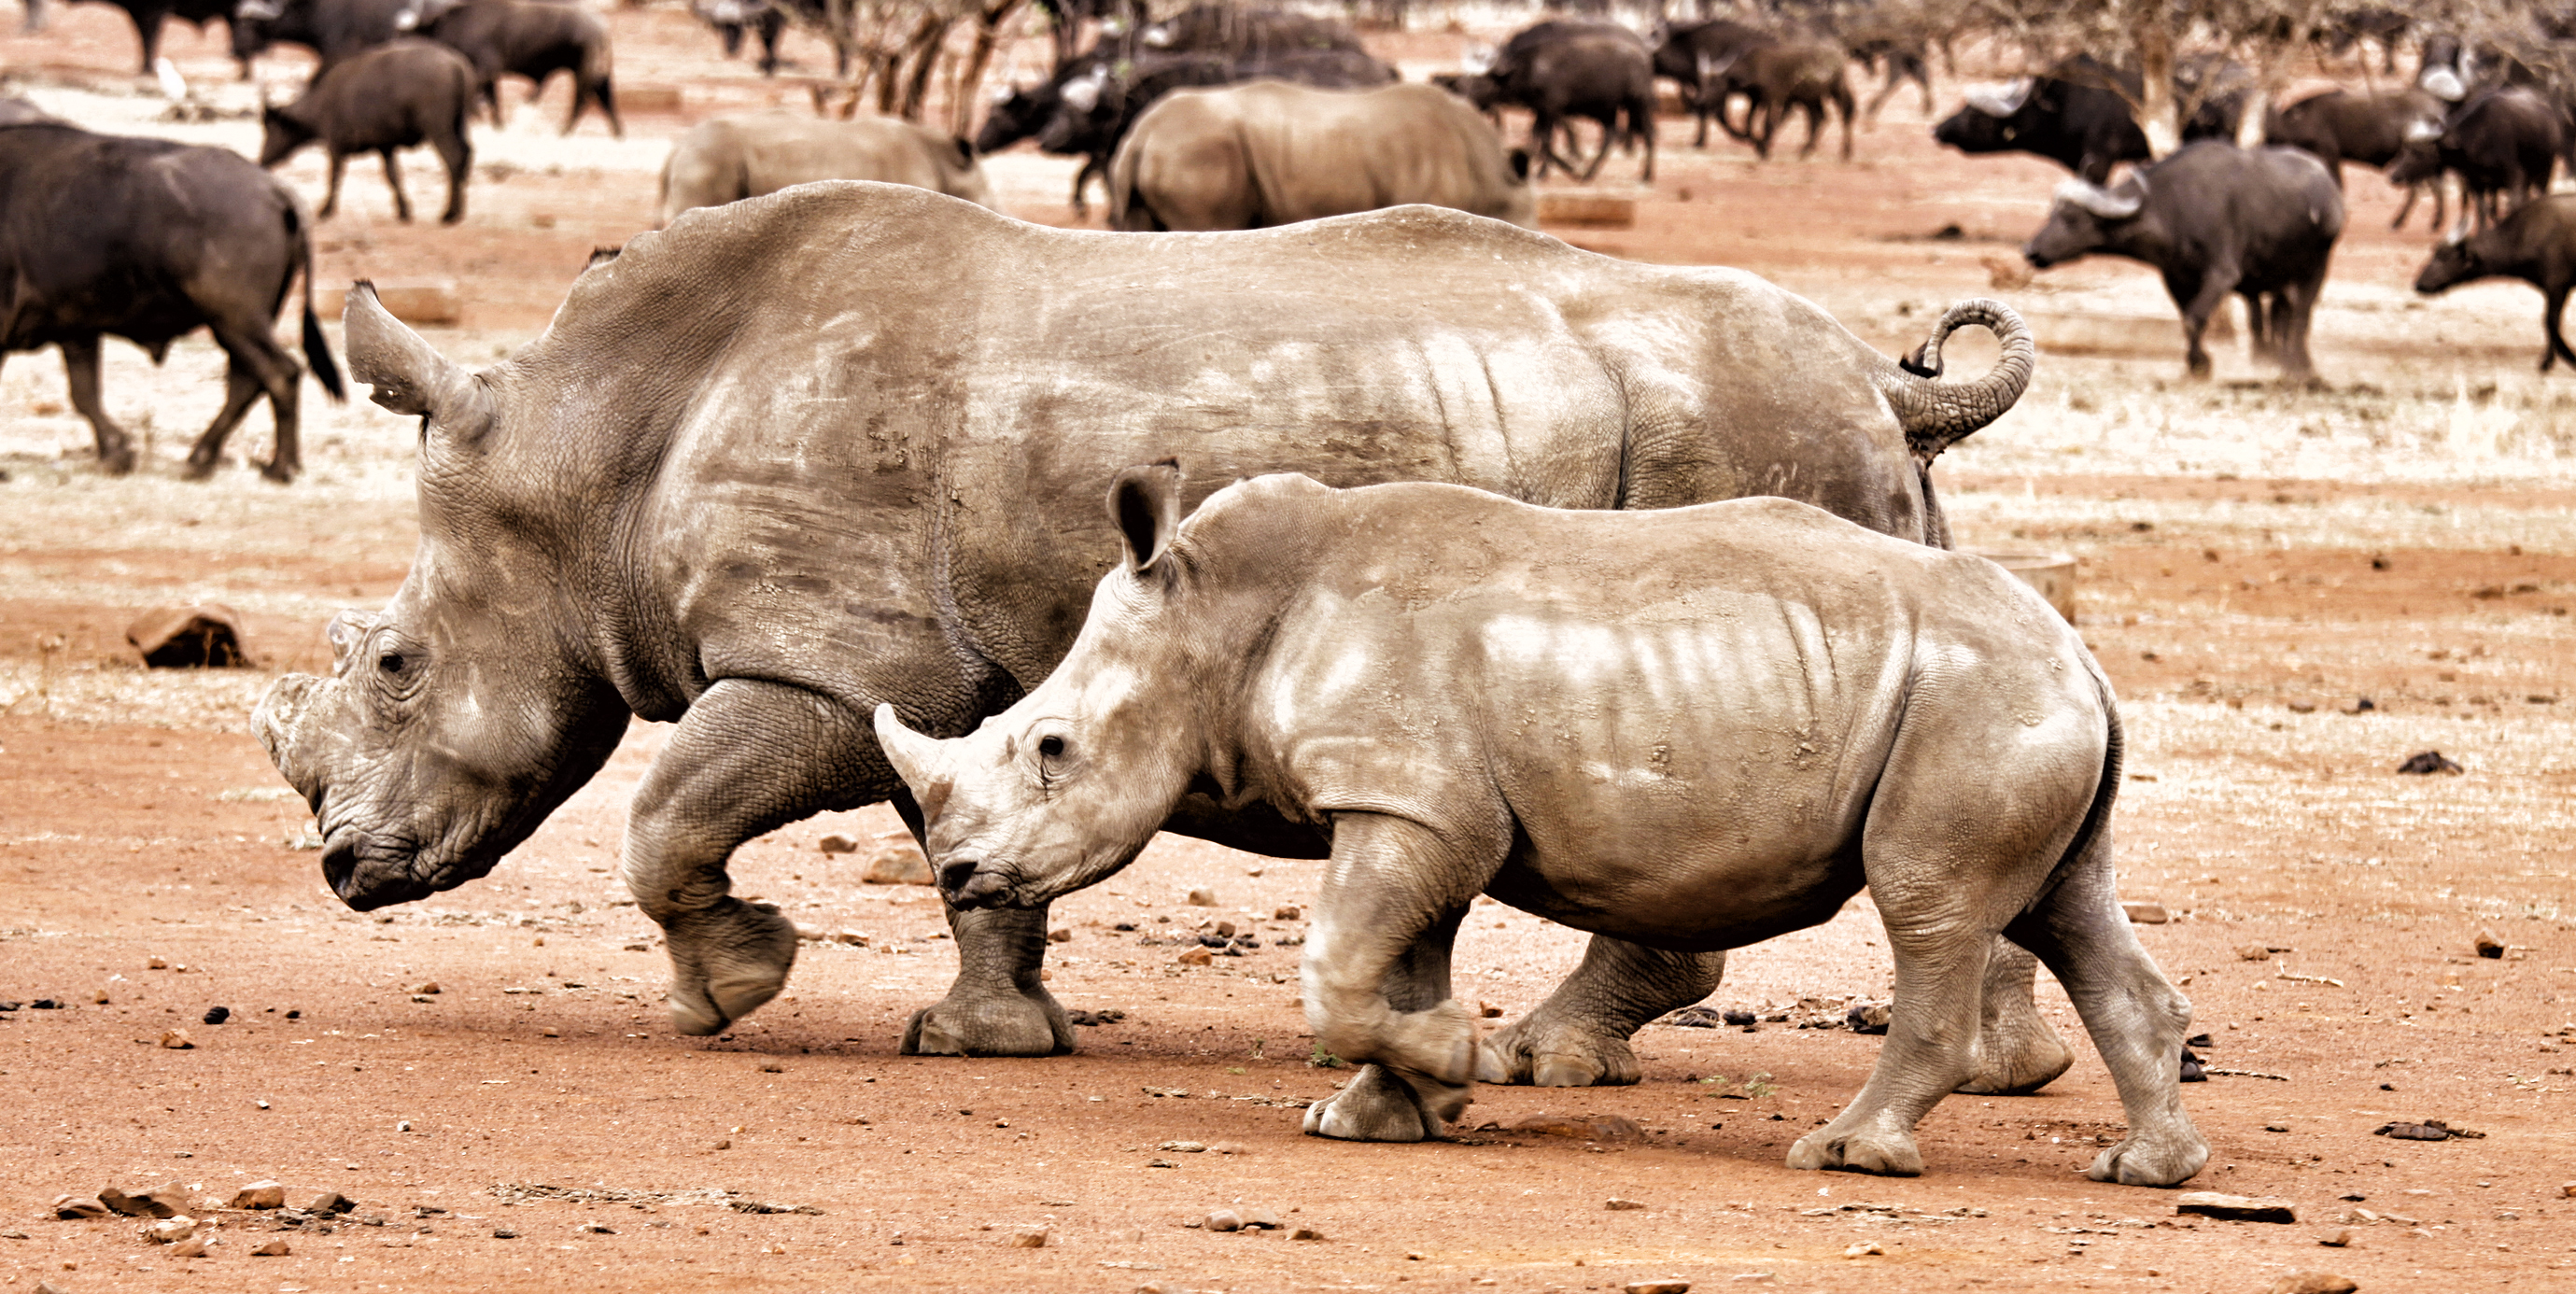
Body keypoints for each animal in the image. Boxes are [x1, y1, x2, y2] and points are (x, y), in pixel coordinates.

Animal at [254, 182, 2064, 1096]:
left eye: (394, 665)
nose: (341, 871)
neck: (589, 452)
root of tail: (1887, 379)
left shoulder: (830, 656)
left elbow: (664, 810)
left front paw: (733, 990)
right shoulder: (956, 675)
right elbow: (965, 842)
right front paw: (983, 1038)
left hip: (1746, 439)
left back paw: (1542, 1060)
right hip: (1814, 457)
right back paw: (2002, 1076)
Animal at [873, 469, 2207, 1186]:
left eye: (1050, 749)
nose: (959, 869)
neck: (1219, 619)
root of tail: (2082, 656)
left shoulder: (1405, 800)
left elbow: (1338, 968)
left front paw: (1466, 1059)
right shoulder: (1419, 804)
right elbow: (1389, 964)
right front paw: (1382, 1113)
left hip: (1974, 701)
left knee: (1928, 907)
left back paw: (1842, 1155)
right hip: (2013, 701)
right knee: (2066, 906)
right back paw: (2147, 1170)